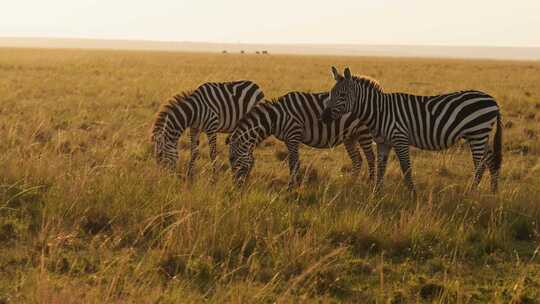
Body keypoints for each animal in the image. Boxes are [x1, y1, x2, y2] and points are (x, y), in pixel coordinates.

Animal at [226, 91, 374, 189]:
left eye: (232, 158)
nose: (235, 185)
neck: (276, 117)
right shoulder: (288, 139)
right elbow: (293, 161)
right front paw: (295, 184)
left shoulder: (293, 136)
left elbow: (293, 162)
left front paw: (292, 186)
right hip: (350, 136)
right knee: (357, 159)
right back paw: (350, 183)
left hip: (363, 132)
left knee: (371, 157)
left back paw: (371, 183)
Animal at [320, 67, 502, 195]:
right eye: (330, 93)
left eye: (342, 95)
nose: (324, 117)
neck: (380, 111)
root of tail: (493, 99)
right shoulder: (383, 142)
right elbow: (381, 168)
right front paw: (376, 193)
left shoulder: (400, 138)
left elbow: (406, 168)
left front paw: (413, 194)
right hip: (481, 135)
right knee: (490, 160)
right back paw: (492, 192)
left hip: (478, 133)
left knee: (480, 164)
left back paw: (470, 192)